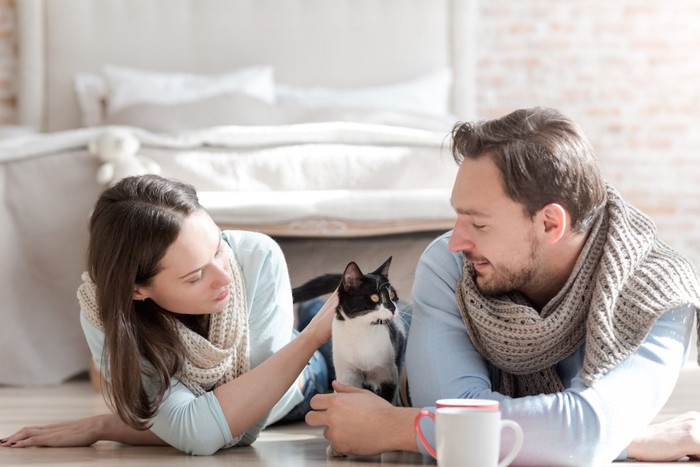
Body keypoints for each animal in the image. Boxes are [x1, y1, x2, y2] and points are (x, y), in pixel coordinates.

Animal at [292, 256, 408, 406]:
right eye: (375, 297)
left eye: (392, 295)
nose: (393, 308)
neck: (362, 331)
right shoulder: (346, 377)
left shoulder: (388, 374)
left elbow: (387, 401)